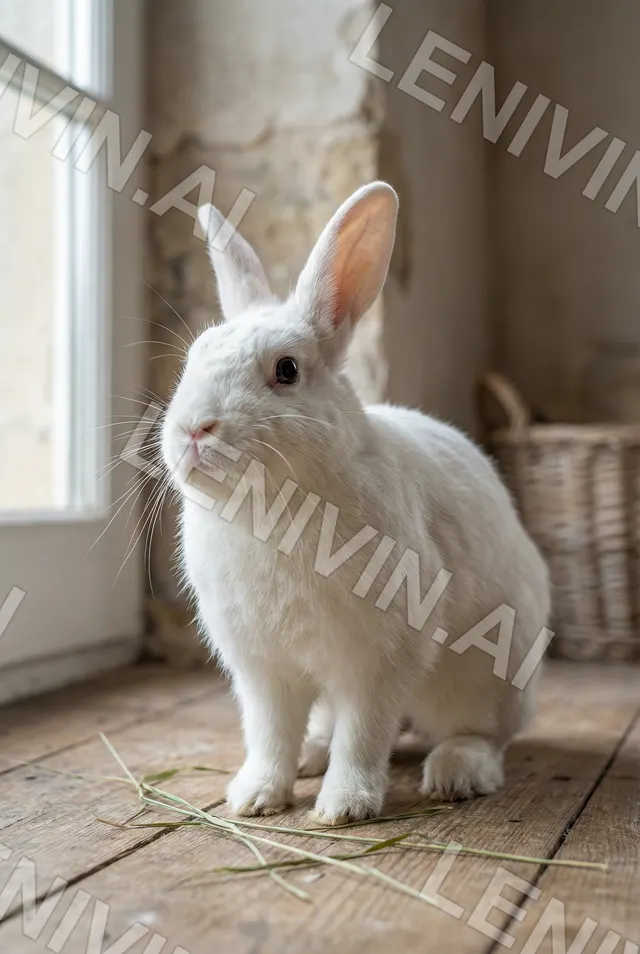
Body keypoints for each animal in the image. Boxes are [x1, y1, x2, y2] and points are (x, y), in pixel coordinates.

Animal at [161, 181, 551, 825]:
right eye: (192, 359)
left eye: (286, 370)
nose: (194, 428)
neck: (269, 508)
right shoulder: (263, 670)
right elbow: (269, 735)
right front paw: (254, 797)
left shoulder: (381, 659)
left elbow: (365, 734)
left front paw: (343, 808)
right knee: (322, 727)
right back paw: (311, 757)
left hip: (485, 678)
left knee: (481, 733)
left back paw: (455, 772)